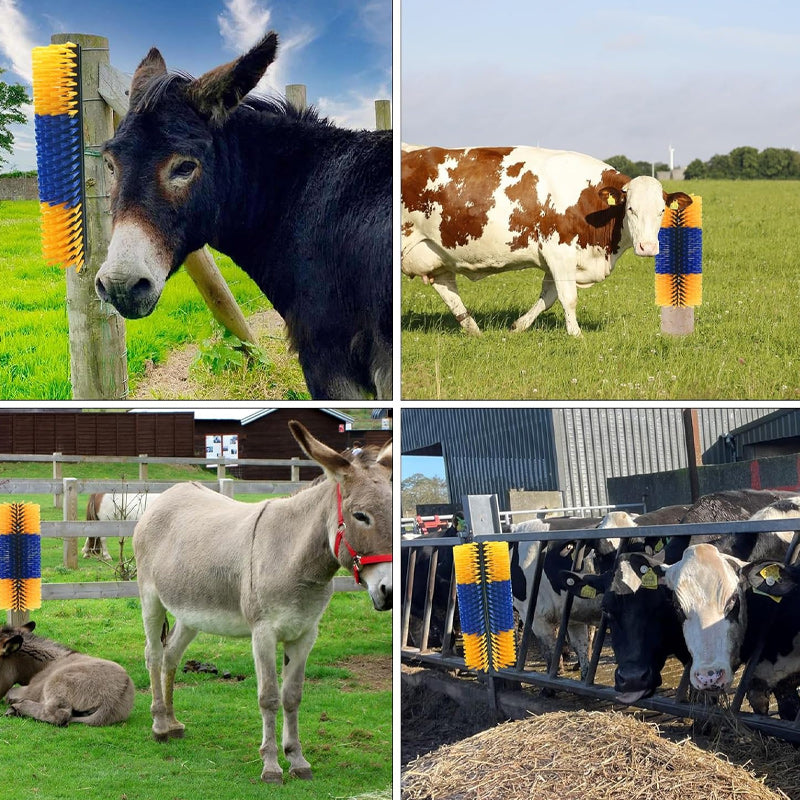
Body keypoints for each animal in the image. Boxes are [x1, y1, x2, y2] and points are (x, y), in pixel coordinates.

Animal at [1, 621, 134, 726]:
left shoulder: (32, 690)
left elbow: (10, 693)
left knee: (58, 714)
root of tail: (113, 700)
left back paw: (15, 708)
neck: (47, 663)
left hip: (56, 684)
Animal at [132, 420, 392, 783]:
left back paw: (172, 723)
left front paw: (297, 760)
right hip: (150, 597)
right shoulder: (263, 633)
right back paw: (158, 724)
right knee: (153, 654)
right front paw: (271, 766)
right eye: (360, 516)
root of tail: (170, 493)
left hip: (190, 611)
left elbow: (292, 696)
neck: (294, 557)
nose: (389, 591)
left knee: (171, 655)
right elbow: (269, 697)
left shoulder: (305, 633)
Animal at [401, 146, 692, 336]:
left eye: (661, 211)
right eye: (630, 209)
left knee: (447, 288)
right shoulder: (559, 251)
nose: (648, 248)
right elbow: (568, 297)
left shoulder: (559, 259)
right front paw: (576, 335)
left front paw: (518, 326)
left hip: (433, 252)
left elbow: (549, 297)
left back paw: (474, 330)